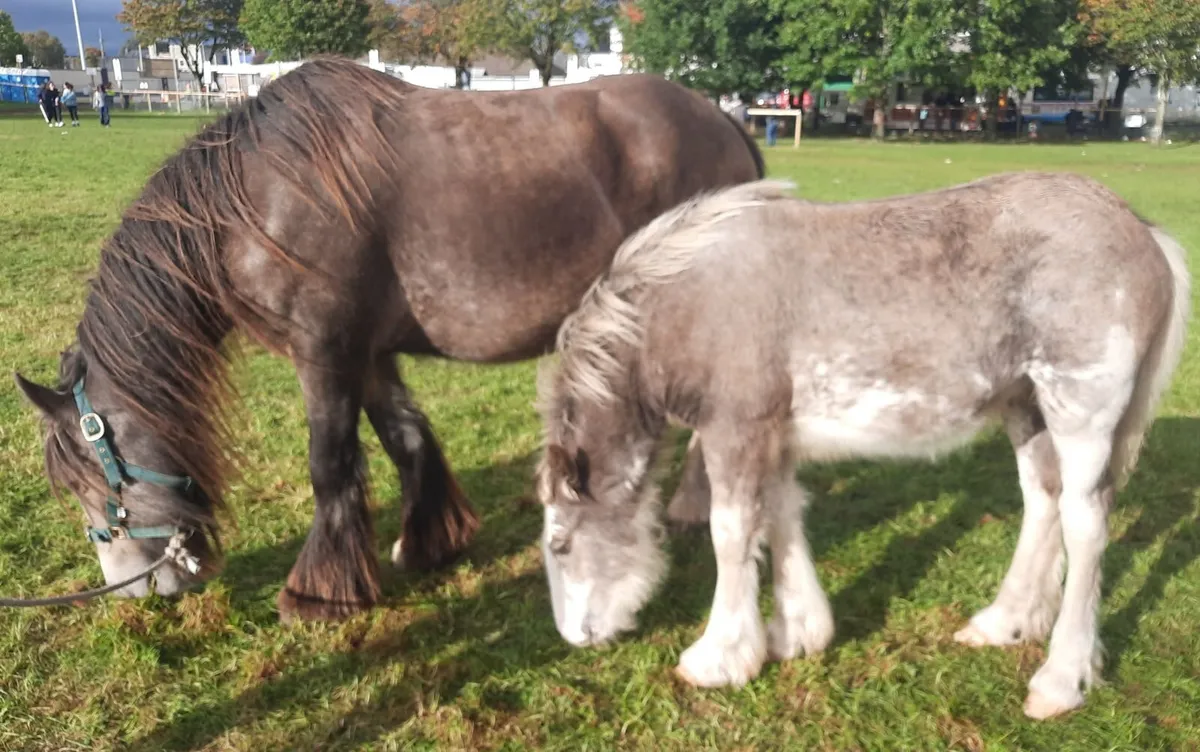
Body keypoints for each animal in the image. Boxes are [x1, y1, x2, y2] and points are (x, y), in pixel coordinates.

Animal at [12, 56, 763, 622]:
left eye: (89, 484)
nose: (137, 588)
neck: (253, 204)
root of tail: (724, 119)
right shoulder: (367, 355)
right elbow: (405, 439)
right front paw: (430, 543)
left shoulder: (323, 354)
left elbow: (330, 465)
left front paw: (319, 593)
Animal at [533, 173, 1189, 719]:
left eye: (561, 546)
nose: (575, 639)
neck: (686, 303)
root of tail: (1142, 230)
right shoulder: (774, 436)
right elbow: (781, 514)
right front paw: (797, 632)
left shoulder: (734, 431)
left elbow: (731, 534)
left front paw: (719, 656)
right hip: (1026, 407)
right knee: (1041, 499)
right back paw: (1005, 622)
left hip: (1080, 414)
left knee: (1085, 525)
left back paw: (1061, 678)